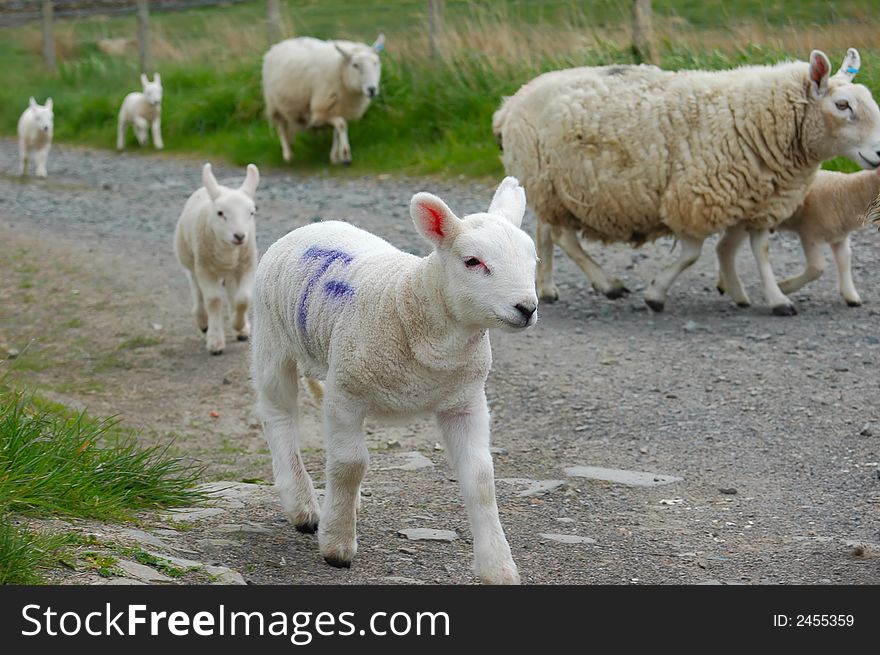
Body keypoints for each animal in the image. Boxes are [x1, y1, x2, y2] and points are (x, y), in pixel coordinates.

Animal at [174, 162, 260, 356]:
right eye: (220, 213)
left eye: (251, 213)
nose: (240, 236)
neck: (228, 251)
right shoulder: (205, 270)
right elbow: (213, 300)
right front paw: (215, 341)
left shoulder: (248, 265)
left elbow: (243, 298)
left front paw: (239, 325)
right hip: (191, 263)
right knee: (197, 291)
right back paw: (203, 322)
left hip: (231, 272)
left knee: (232, 294)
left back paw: (241, 329)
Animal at [251, 176, 540, 584]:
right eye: (472, 261)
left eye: (534, 261)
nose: (527, 308)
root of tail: (313, 225)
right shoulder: (347, 393)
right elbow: (350, 464)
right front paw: (337, 545)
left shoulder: (464, 400)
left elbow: (481, 478)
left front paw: (497, 567)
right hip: (272, 340)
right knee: (279, 415)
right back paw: (303, 506)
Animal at [262, 33, 384, 168]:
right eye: (355, 65)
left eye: (376, 63)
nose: (372, 89)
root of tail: (278, 45)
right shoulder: (322, 109)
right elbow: (341, 125)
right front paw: (346, 156)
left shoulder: (338, 108)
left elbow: (337, 130)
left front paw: (335, 157)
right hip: (273, 103)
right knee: (281, 127)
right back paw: (287, 154)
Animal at [716, 167, 880, 308]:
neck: (847, 193)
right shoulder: (809, 233)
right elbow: (817, 267)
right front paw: (784, 287)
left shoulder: (839, 238)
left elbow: (845, 260)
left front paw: (851, 295)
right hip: (744, 222)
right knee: (725, 247)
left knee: (724, 246)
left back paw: (724, 285)